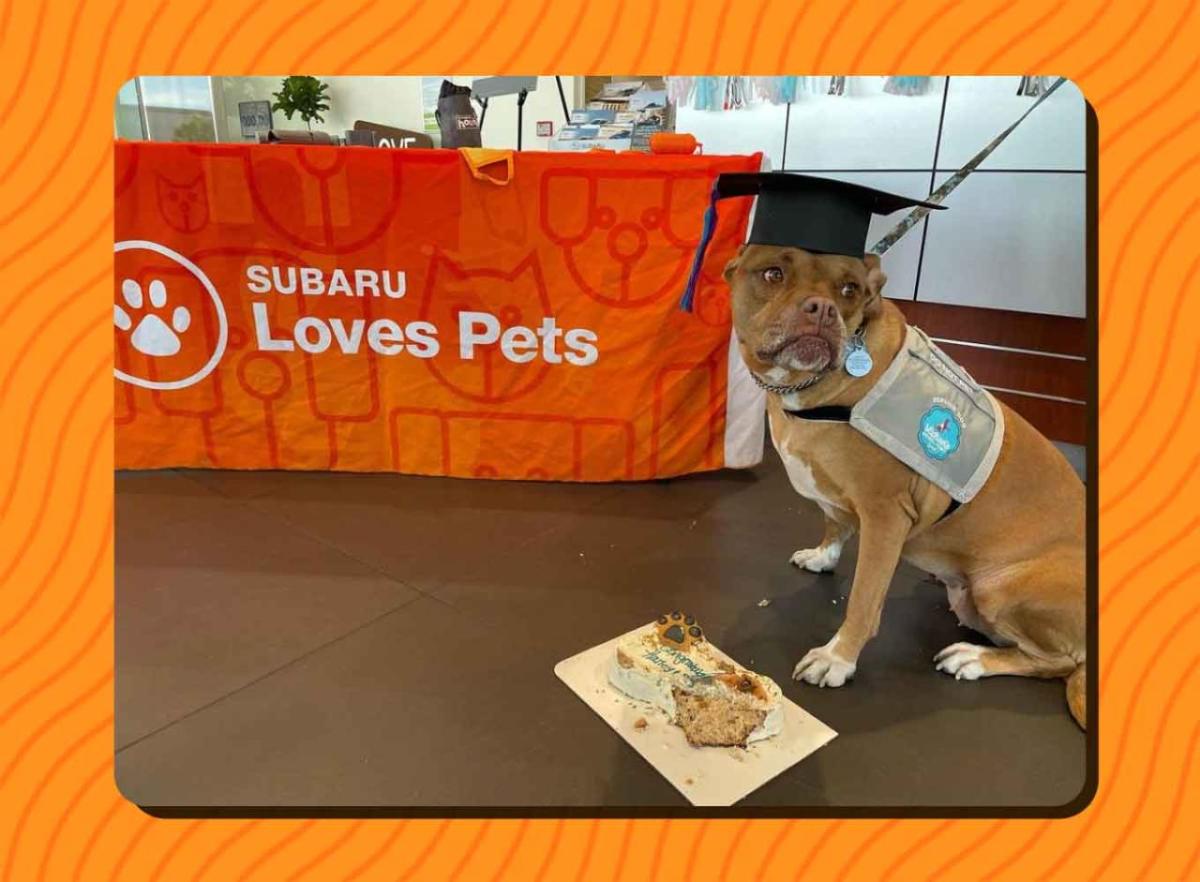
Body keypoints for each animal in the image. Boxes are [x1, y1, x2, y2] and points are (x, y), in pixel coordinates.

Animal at [720, 244, 1089, 729]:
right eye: (773, 273)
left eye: (848, 289)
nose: (823, 309)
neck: (813, 387)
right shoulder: (839, 498)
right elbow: (834, 523)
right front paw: (823, 555)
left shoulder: (886, 517)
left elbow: (863, 597)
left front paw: (838, 658)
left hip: (1002, 589)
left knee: (1056, 662)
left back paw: (974, 658)